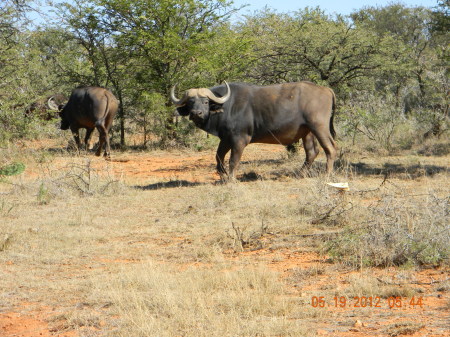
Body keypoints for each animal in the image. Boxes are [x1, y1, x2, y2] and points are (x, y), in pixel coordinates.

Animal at [171, 81, 338, 178]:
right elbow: (218, 156)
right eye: (191, 102)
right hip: (307, 132)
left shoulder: (239, 139)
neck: (227, 106)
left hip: (319, 127)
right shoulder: (225, 138)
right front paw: (222, 175)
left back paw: (327, 174)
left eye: (205, 102)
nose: (196, 113)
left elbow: (233, 160)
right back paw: (300, 173)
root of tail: (326, 90)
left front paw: (231, 179)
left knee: (330, 148)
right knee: (312, 152)